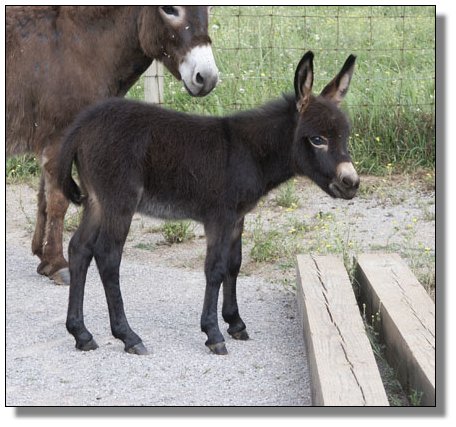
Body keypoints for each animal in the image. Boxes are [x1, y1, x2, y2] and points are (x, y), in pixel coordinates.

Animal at [6, 6, 219, 285]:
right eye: (169, 9)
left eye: (209, 8)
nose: (208, 78)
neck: (84, 45)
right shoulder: (59, 137)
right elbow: (58, 200)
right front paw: (58, 264)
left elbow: (43, 197)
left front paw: (43, 258)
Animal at [58, 51, 359, 355]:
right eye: (317, 139)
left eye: (345, 137)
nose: (351, 183)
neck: (250, 152)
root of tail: (84, 123)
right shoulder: (219, 218)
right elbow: (214, 269)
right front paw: (213, 333)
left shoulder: (237, 218)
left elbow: (234, 264)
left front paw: (235, 322)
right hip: (119, 201)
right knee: (108, 256)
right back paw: (128, 336)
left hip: (97, 201)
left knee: (79, 249)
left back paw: (81, 334)